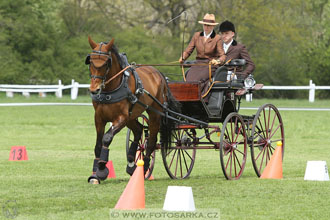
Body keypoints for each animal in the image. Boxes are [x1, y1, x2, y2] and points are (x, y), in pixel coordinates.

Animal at [85, 36, 178, 184]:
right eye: (91, 61)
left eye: (106, 63)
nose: (94, 89)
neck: (111, 88)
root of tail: (158, 73)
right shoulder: (99, 118)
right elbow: (98, 144)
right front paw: (95, 174)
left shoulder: (121, 118)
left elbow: (107, 138)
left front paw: (102, 169)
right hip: (132, 116)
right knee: (139, 130)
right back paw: (131, 164)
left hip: (154, 113)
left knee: (151, 141)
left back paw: (144, 168)